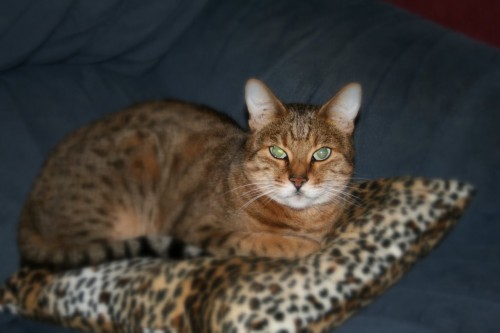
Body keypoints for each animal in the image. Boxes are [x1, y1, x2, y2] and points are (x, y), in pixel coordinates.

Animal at [17, 79, 362, 268]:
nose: (298, 181)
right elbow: (254, 240)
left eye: (321, 153)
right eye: (278, 152)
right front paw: (299, 245)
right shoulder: (197, 228)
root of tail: (29, 207)